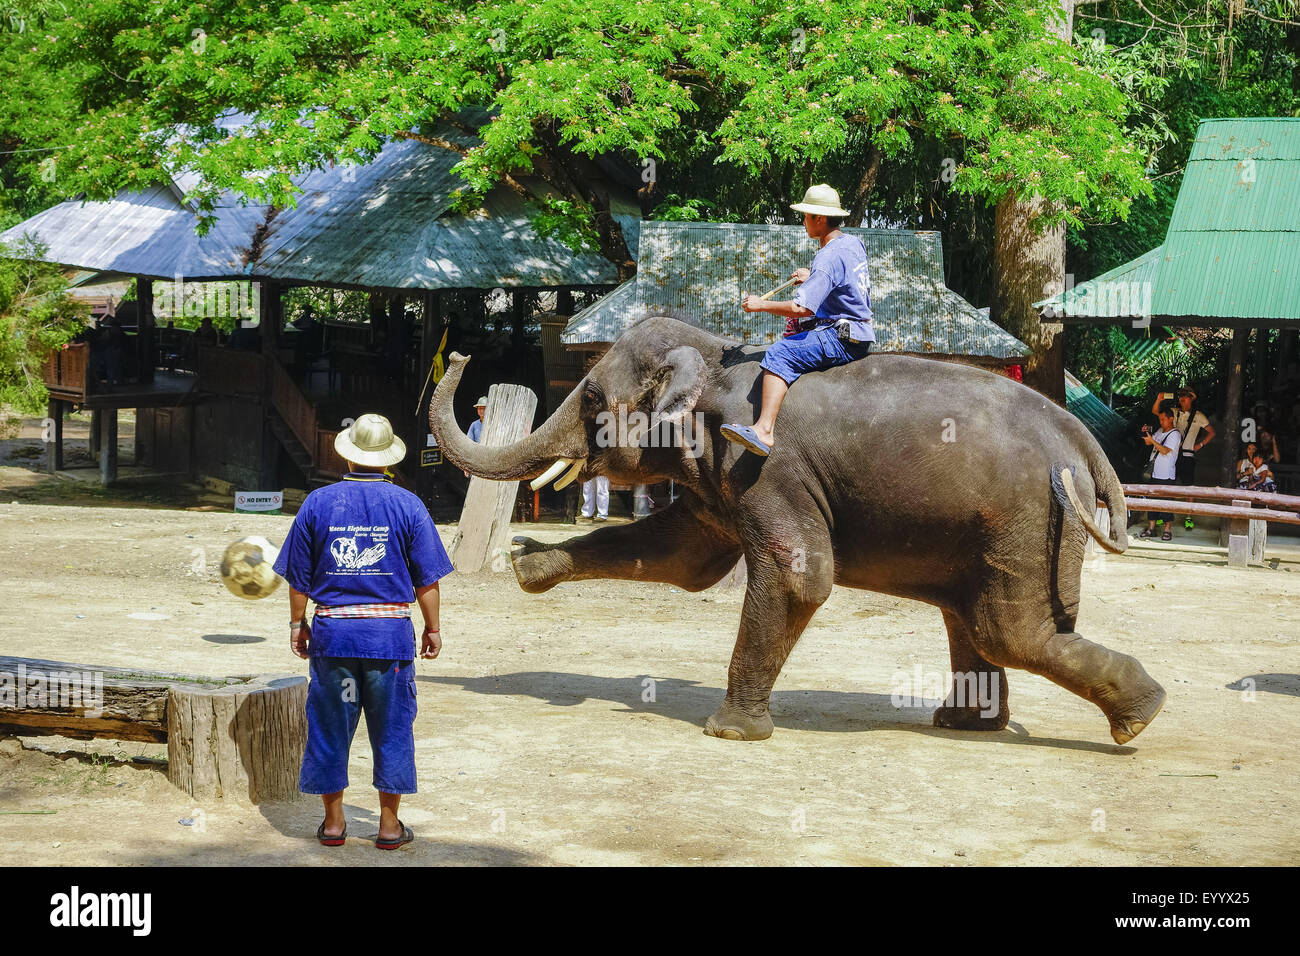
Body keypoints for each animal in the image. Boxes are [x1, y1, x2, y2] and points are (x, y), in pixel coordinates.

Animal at [428, 317, 1170, 743]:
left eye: (588, 398)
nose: (460, 354)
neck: (715, 355)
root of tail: (1084, 440)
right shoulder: (719, 474)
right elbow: (683, 560)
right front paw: (529, 564)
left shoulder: (763, 463)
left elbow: (799, 574)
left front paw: (729, 732)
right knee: (973, 620)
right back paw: (968, 723)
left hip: (1029, 517)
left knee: (1007, 630)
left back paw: (1141, 715)